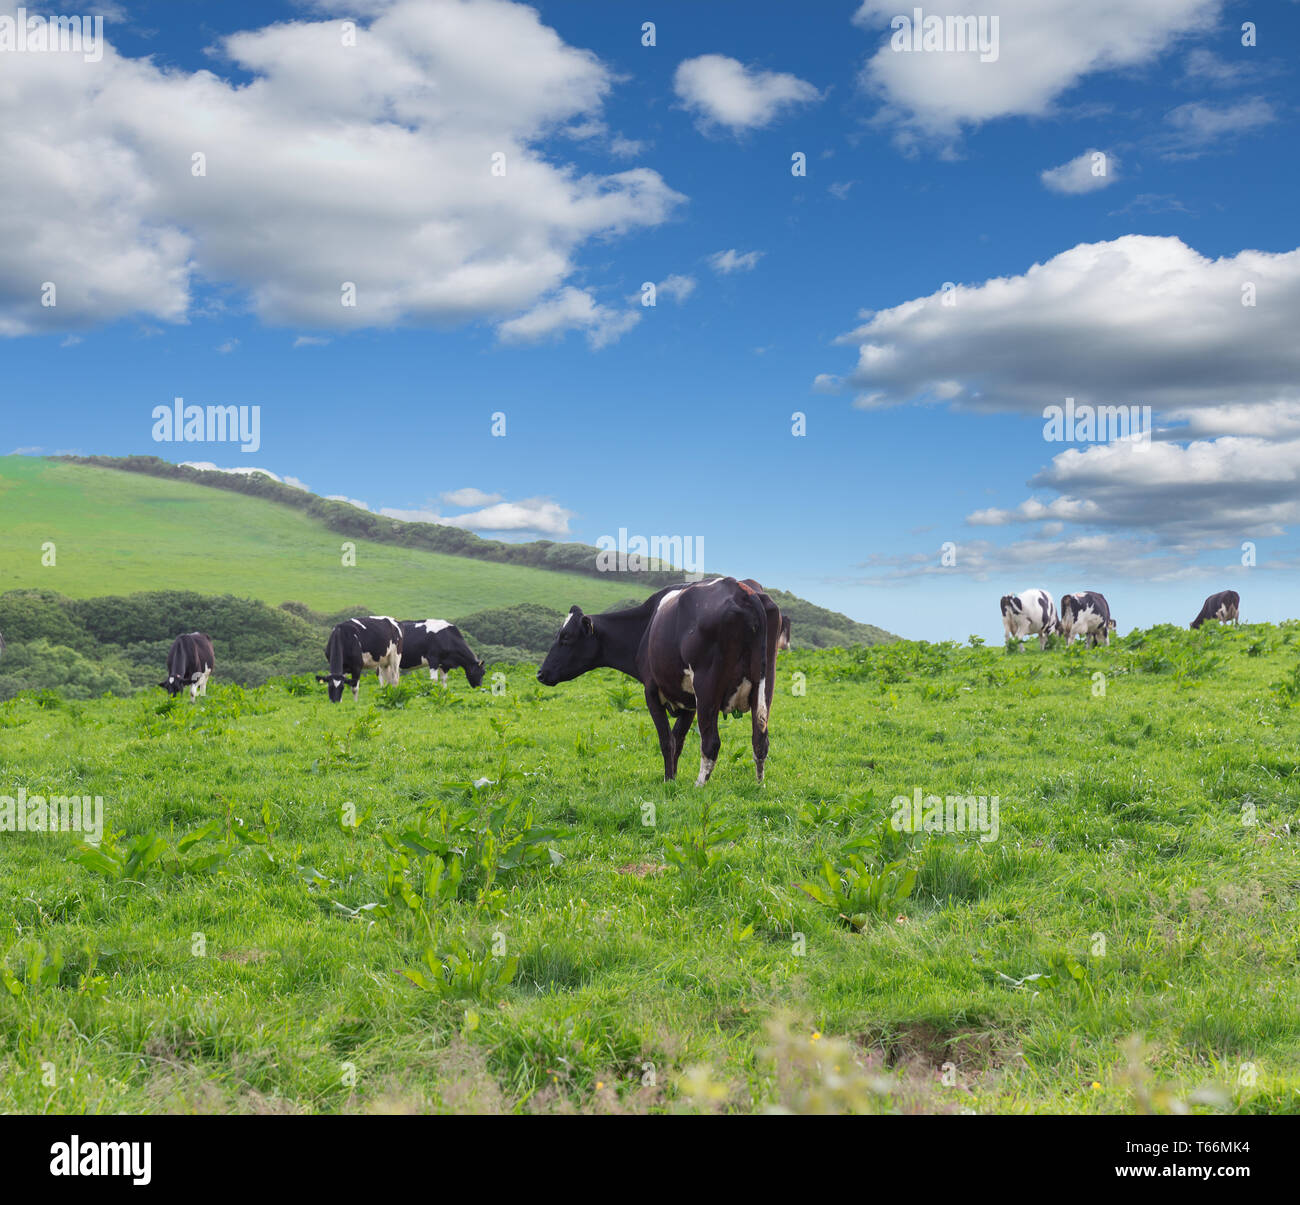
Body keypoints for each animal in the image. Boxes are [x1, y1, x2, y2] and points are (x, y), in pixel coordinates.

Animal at [537, 576, 781, 786]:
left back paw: (699, 785)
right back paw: (758, 784)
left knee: (711, 742)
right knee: (760, 740)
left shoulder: (652, 692)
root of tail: (742, 590)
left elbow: (666, 740)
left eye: (566, 638)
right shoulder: (687, 701)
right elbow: (677, 740)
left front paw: (668, 781)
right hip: (765, 685)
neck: (645, 628)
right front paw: (673, 777)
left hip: (707, 688)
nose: (541, 673)